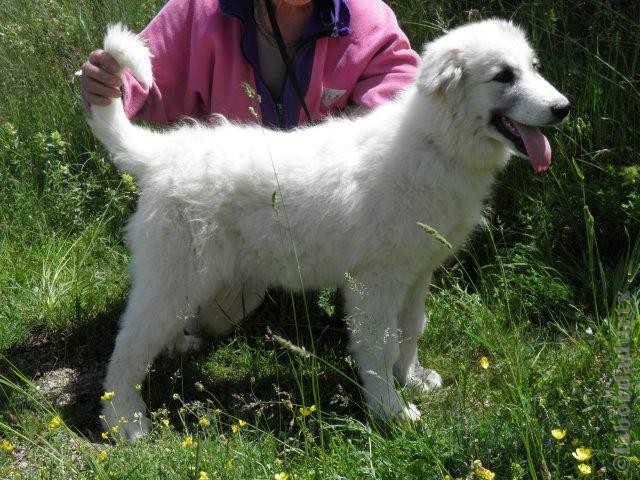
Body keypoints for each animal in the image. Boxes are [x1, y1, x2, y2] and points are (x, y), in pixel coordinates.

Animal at [86, 18, 568, 440]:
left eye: (534, 67)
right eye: (503, 76)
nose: (562, 109)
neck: (435, 143)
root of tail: (162, 154)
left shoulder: (418, 272)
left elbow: (411, 330)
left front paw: (411, 378)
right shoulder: (376, 281)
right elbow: (379, 346)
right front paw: (391, 411)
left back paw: (176, 348)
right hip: (177, 276)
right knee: (127, 348)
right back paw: (125, 421)